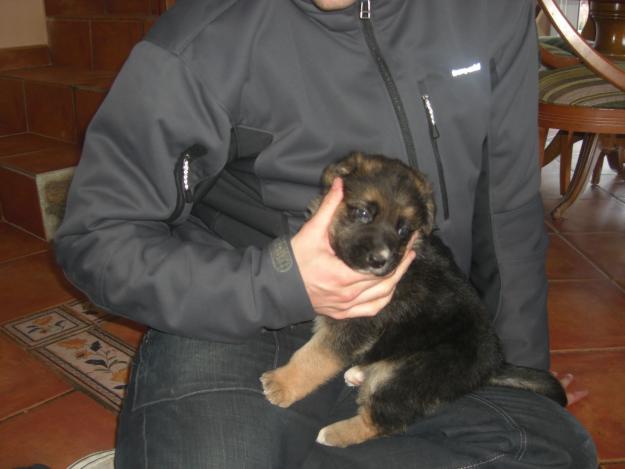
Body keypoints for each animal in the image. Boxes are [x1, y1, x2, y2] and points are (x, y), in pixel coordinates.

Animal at [258, 153, 564, 446]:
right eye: (363, 213)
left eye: (403, 230)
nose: (379, 261)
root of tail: (492, 365)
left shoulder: (356, 322)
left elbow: (316, 355)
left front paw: (283, 384)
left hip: (413, 374)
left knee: (383, 420)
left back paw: (333, 434)